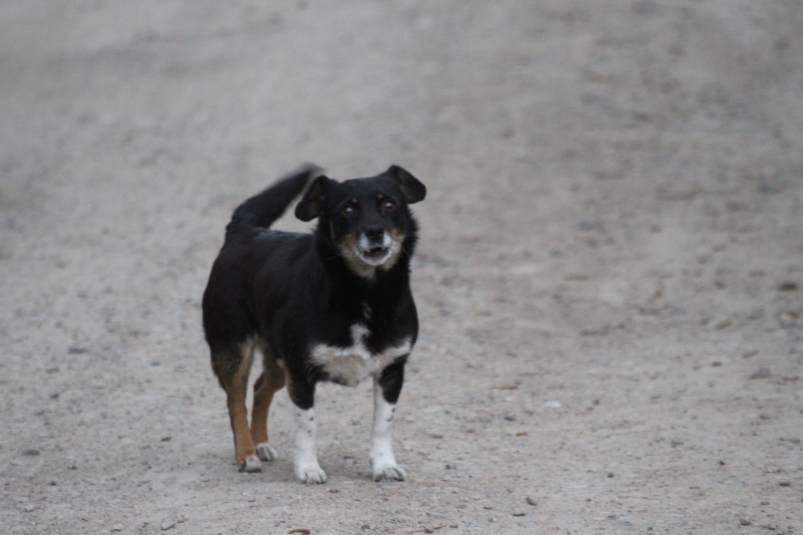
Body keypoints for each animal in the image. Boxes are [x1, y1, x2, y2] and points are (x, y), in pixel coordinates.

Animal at [201, 165, 428, 484]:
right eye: (347, 209)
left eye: (389, 204)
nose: (375, 231)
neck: (364, 294)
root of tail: (244, 232)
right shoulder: (301, 373)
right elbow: (307, 426)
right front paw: (308, 468)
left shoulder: (392, 370)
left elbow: (383, 424)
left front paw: (384, 466)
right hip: (233, 349)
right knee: (235, 400)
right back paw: (246, 454)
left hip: (278, 359)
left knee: (260, 388)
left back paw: (260, 444)